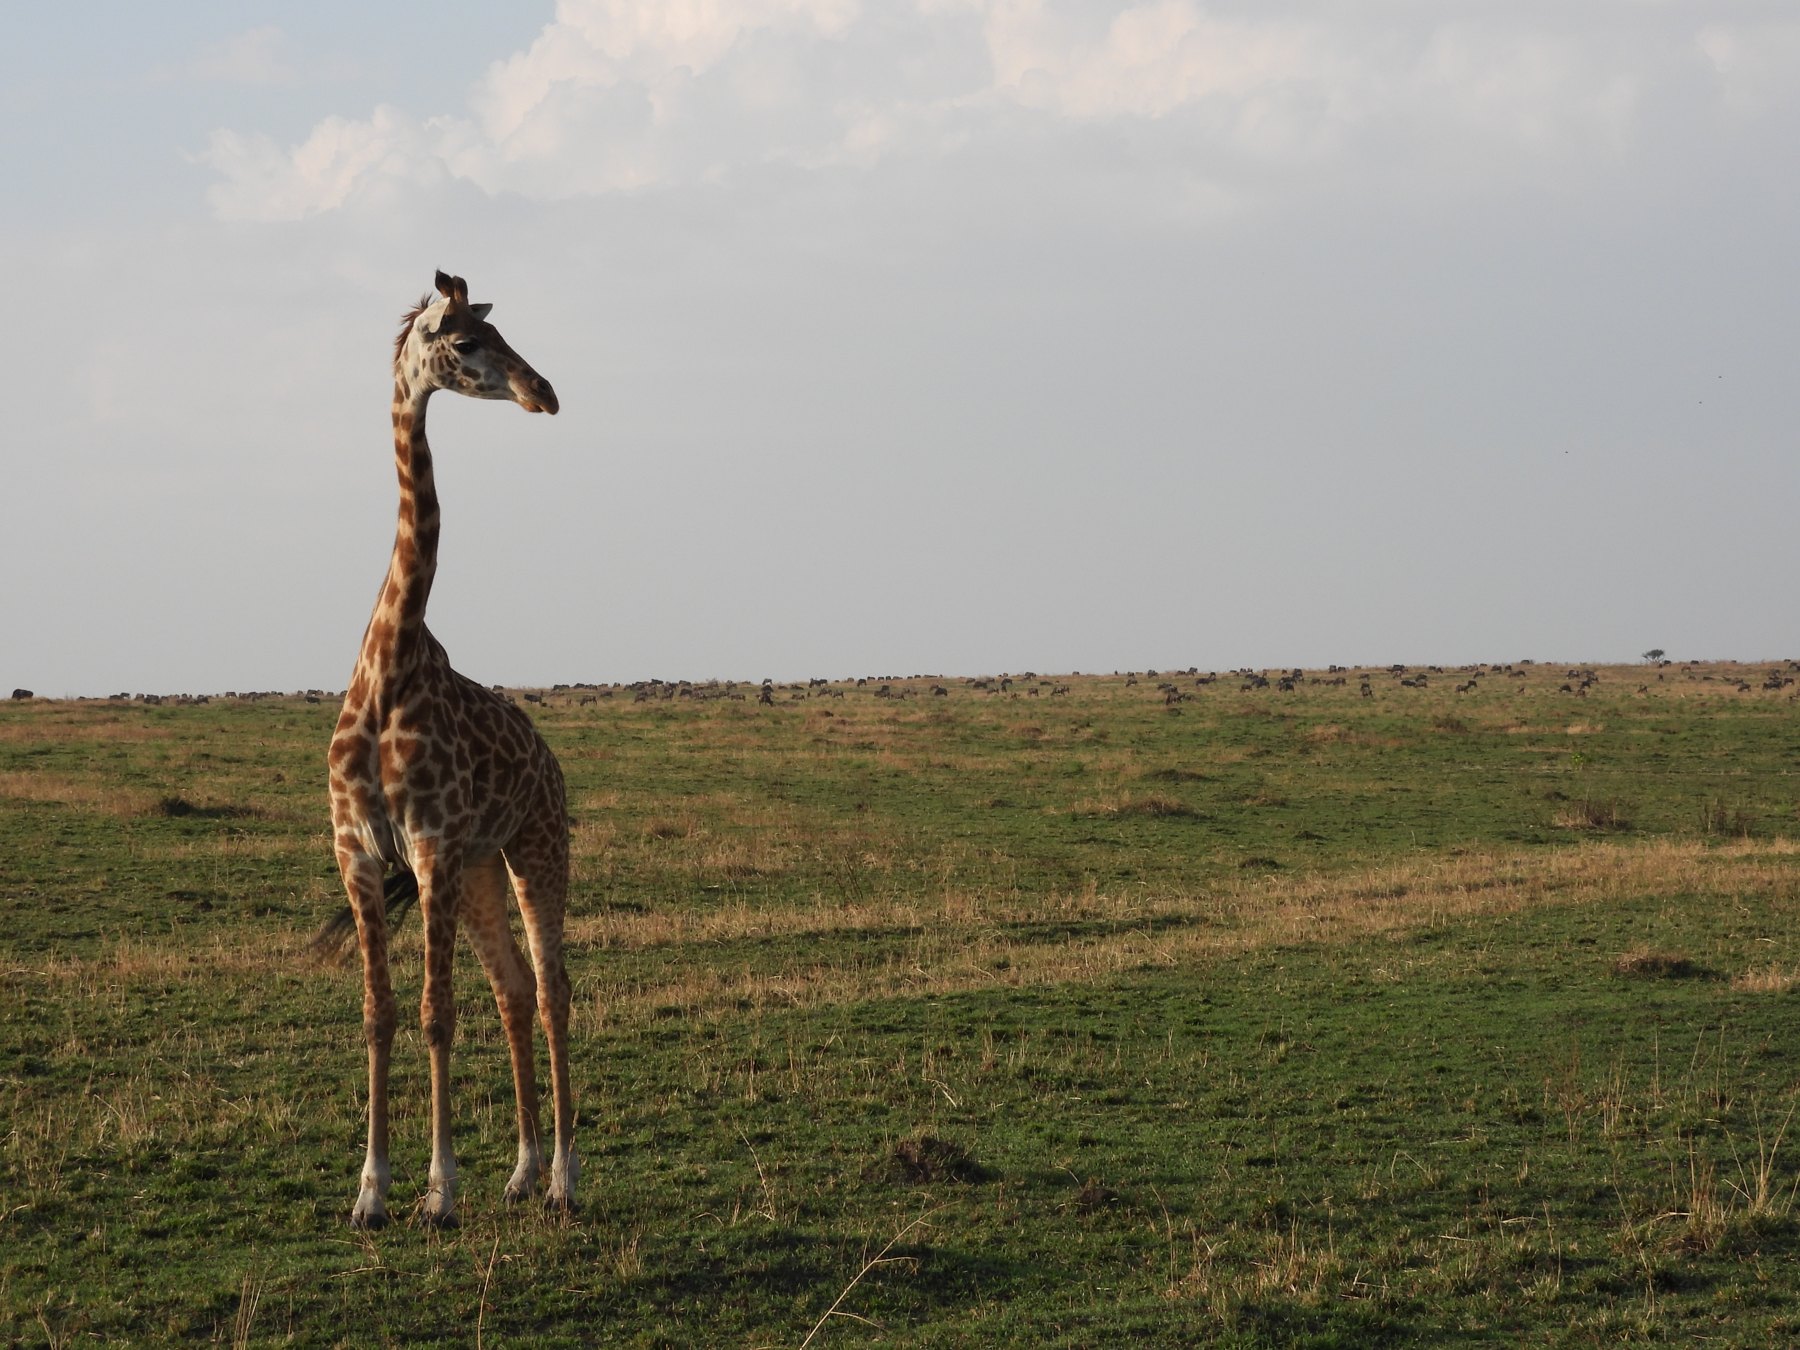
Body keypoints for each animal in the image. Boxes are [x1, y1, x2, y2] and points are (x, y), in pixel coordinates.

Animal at [326, 270, 576, 1229]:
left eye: (498, 333)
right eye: (465, 342)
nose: (545, 392)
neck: (387, 666)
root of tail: (549, 759)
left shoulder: (429, 846)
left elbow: (437, 1012)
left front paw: (437, 1190)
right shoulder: (360, 853)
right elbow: (381, 1012)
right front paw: (370, 1191)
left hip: (535, 850)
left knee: (552, 989)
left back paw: (563, 1177)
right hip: (479, 870)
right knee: (513, 990)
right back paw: (522, 1170)